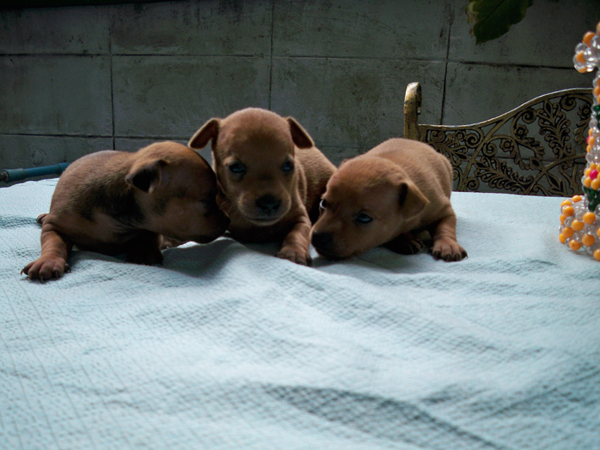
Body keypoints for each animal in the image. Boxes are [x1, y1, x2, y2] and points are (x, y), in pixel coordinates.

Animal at [22, 141, 230, 281]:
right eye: (207, 202)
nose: (227, 218)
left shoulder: (151, 224)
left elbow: (150, 234)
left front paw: (144, 251)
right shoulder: (57, 225)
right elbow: (54, 242)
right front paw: (48, 261)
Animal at [188, 107, 336, 265]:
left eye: (288, 165)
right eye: (236, 167)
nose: (269, 203)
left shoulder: (300, 217)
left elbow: (297, 234)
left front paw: (293, 252)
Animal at [311, 138, 467, 261]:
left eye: (364, 218)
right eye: (323, 203)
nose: (318, 237)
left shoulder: (443, 210)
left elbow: (445, 226)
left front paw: (448, 245)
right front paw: (405, 239)